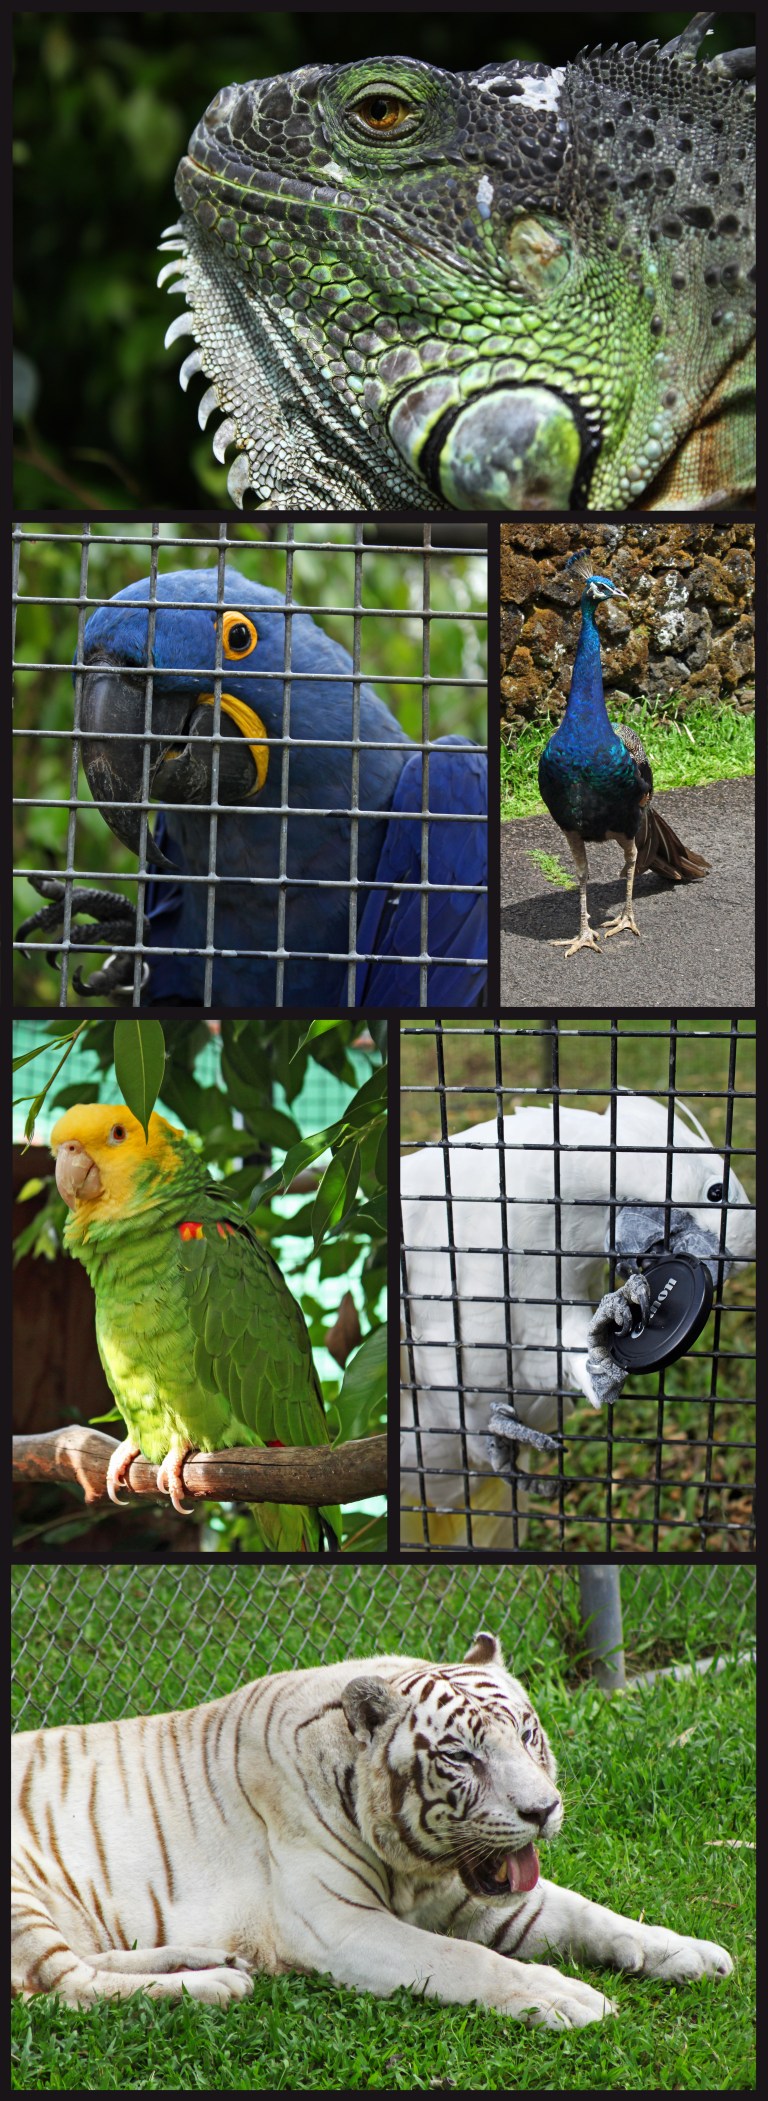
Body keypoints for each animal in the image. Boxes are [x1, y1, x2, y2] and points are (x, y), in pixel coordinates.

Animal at [12, 1632, 732, 2029]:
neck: (419, 1868)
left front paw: (693, 1952)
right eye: (460, 1756)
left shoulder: (477, 1900)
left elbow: (595, 1916)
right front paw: (565, 1997)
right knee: (62, 1986)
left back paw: (208, 1960)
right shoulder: (340, 1924)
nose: (543, 1809)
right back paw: (216, 1985)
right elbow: (466, 1960)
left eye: (528, 1733)